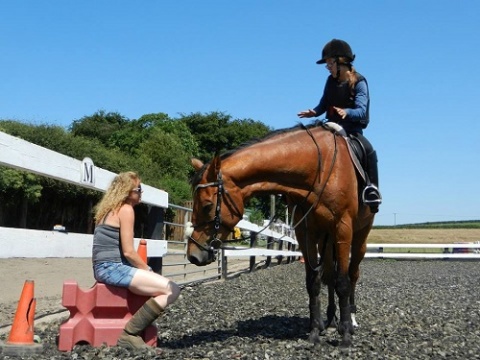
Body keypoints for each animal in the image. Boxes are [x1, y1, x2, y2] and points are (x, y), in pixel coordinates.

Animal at [188, 123, 376, 346]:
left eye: (207, 206)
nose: (193, 255)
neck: (319, 170)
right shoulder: (305, 233)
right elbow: (314, 282)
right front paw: (315, 331)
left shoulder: (342, 229)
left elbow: (343, 282)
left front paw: (346, 333)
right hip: (326, 240)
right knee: (330, 277)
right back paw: (330, 320)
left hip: (359, 237)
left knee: (353, 274)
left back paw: (351, 320)